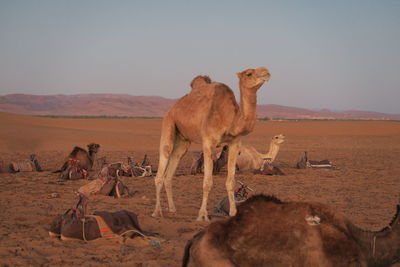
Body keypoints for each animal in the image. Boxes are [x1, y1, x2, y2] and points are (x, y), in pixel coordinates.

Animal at [152, 67, 270, 222]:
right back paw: (157, 211)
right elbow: (207, 183)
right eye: (249, 73)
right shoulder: (208, 143)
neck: (229, 118)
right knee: (163, 162)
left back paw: (172, 209)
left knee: (171, 168)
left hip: (183, 141)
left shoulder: (234, 143)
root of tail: (173, 108)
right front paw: (202, 215)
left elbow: (230, 182)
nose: (266, 71)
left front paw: (233, 212)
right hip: (169, 123)